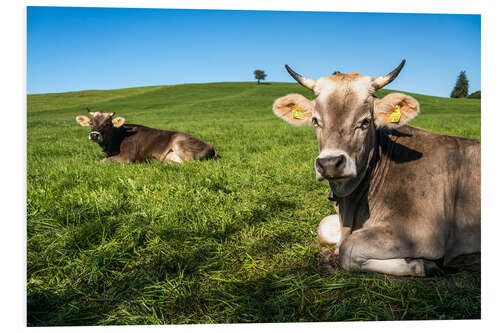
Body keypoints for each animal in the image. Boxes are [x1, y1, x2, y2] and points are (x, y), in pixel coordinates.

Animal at [75, 108, 216, 163]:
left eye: (108, 124)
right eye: (91, 123)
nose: (94, 135)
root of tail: (211, 145)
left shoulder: (126, 157)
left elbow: (101, 161)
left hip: (180, 144)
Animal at [274, 61, 480, 276]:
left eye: (365, 121)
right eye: (315, 121)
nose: (330, 163)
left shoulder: (424, 233)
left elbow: (348, 249)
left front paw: (422, 264)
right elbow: (323, 226)